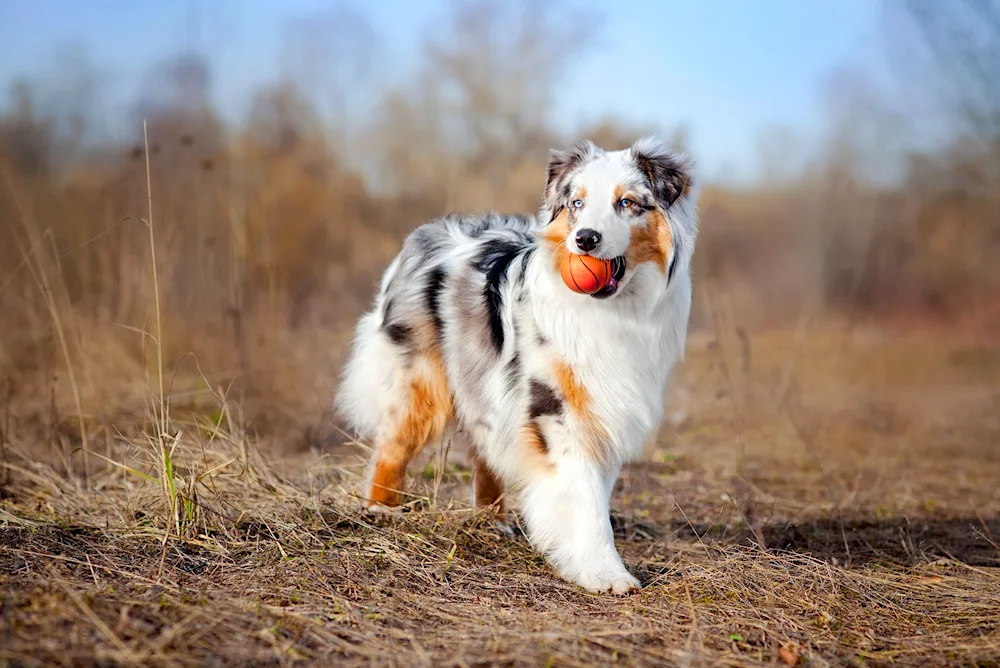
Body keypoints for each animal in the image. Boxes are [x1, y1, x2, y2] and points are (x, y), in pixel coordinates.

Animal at [336, 137, 696, 596]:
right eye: (577, 203)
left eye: (627, 203)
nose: (585, 239)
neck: (613, 311)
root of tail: (425, 233)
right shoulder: (555, 410)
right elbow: (584, 498)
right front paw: (605, 573)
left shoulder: (604, 408)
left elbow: (593, 492)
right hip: (423, 381)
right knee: (393, 446)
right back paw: (381, 510)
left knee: (484, 449)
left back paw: (493, 521)